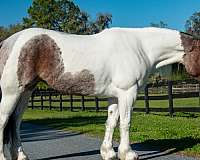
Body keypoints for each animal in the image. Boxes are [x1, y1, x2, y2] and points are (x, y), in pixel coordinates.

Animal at [0, 26, 193, 159]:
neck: (140, 47)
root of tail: (8, 42)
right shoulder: (128, 93)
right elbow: (125, 123)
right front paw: (128, 153)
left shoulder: (115, 96)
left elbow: (111, 122)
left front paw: (108, 153)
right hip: (11, 93)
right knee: (4, 122)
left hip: (25, 93)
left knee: (15, 123)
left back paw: (21, 156)